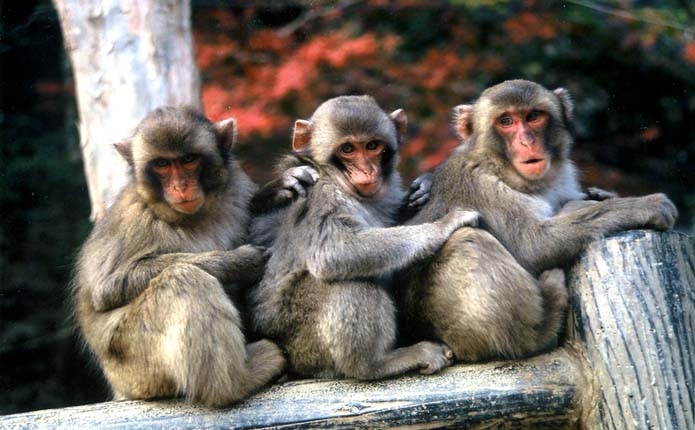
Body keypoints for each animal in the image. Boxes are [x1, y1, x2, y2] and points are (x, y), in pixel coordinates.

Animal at [72, 106, 284, 408]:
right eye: (162, 164)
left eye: (188, 160)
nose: (181, 186)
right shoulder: (135, 218)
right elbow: (107, 290)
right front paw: (238, 262)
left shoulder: (237, 188)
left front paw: (279, 189)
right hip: (136, 366)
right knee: (183, 279)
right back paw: (236, 382)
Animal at [249, 96, 478, 380]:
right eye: (348, 149)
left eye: (372, 146)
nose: (367, 171)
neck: (341, 184)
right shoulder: (324, 197)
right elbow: (333, 252)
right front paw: (444, 225)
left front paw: (422, 187)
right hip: (305, 344)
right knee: (349, 277)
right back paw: (375, 364)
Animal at [400, 80, 676, 362]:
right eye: (506, 121)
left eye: (533, 117)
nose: (527, 141)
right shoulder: (480, 186)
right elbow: (533, 245)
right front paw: (644, 204)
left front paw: (599, 196)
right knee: (467, 240)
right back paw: (538, 329)